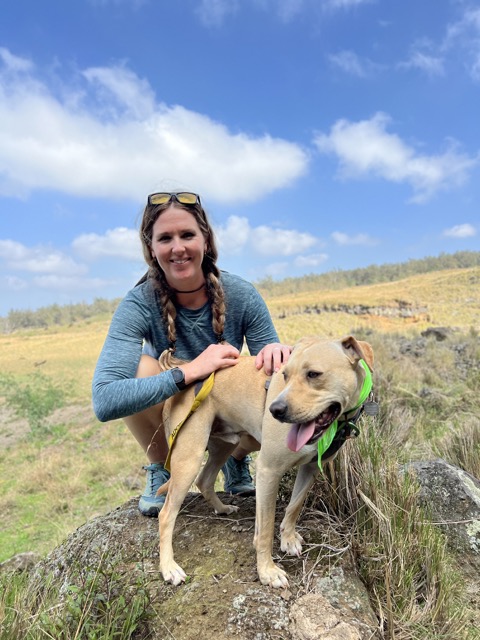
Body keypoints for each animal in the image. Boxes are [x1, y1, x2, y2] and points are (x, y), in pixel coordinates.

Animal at [156, 338, 374, 588]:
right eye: (285, 375)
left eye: (313, 374)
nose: (275, 410)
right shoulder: (269, 471)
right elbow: (266, 530)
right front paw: (267, 571)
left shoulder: (310, 468)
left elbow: (294, 506)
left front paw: (287, 538)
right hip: (189, 458)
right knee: (166, 515)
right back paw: (168, 567)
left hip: (224, 446)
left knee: (205, 480)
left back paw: (222, 508)